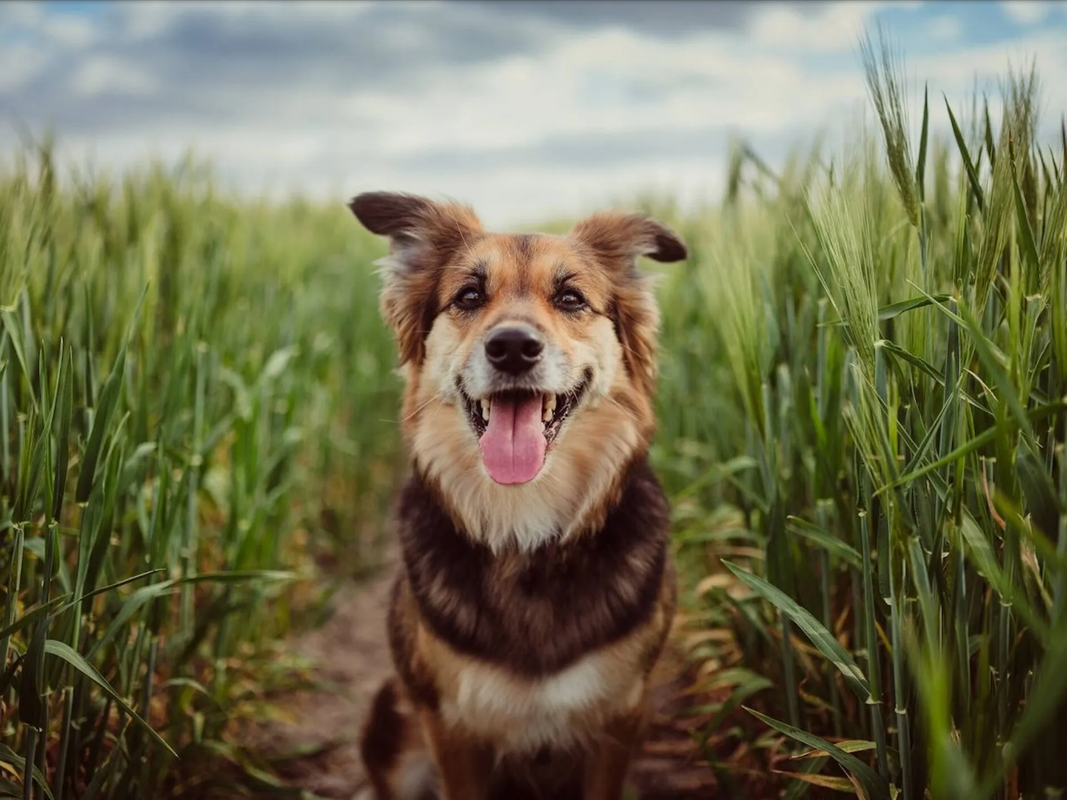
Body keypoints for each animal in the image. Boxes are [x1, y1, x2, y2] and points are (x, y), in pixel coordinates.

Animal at [345, 190, 687, 797]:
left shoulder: (619, 717)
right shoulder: (451, 727)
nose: (511, 347)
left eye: (571, 298)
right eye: (470, 296)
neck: (525, 527)